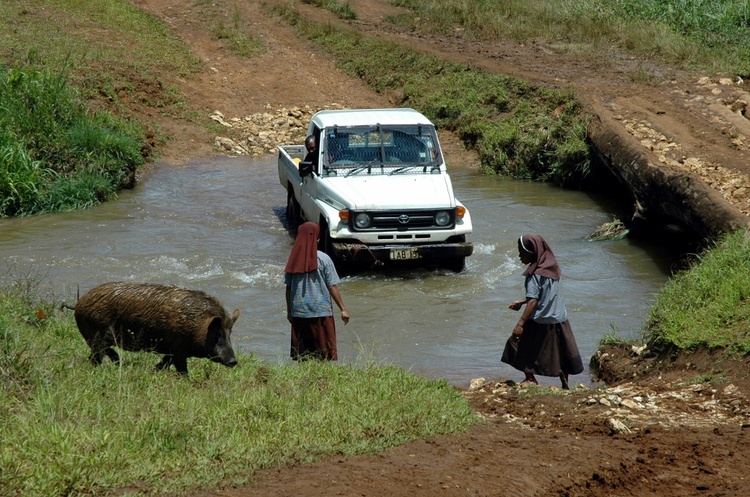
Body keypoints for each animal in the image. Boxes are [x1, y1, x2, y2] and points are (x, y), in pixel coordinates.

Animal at [70, 280, 241, 374]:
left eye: (230, 333)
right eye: (217, 334)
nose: (233, 361)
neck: (197, 324)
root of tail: (78, 304)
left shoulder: (173, 351)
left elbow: (165, 362)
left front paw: (153, 370)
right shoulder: (178, 349)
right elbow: (181, 369)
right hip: (96, 334)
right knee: (96, 356)